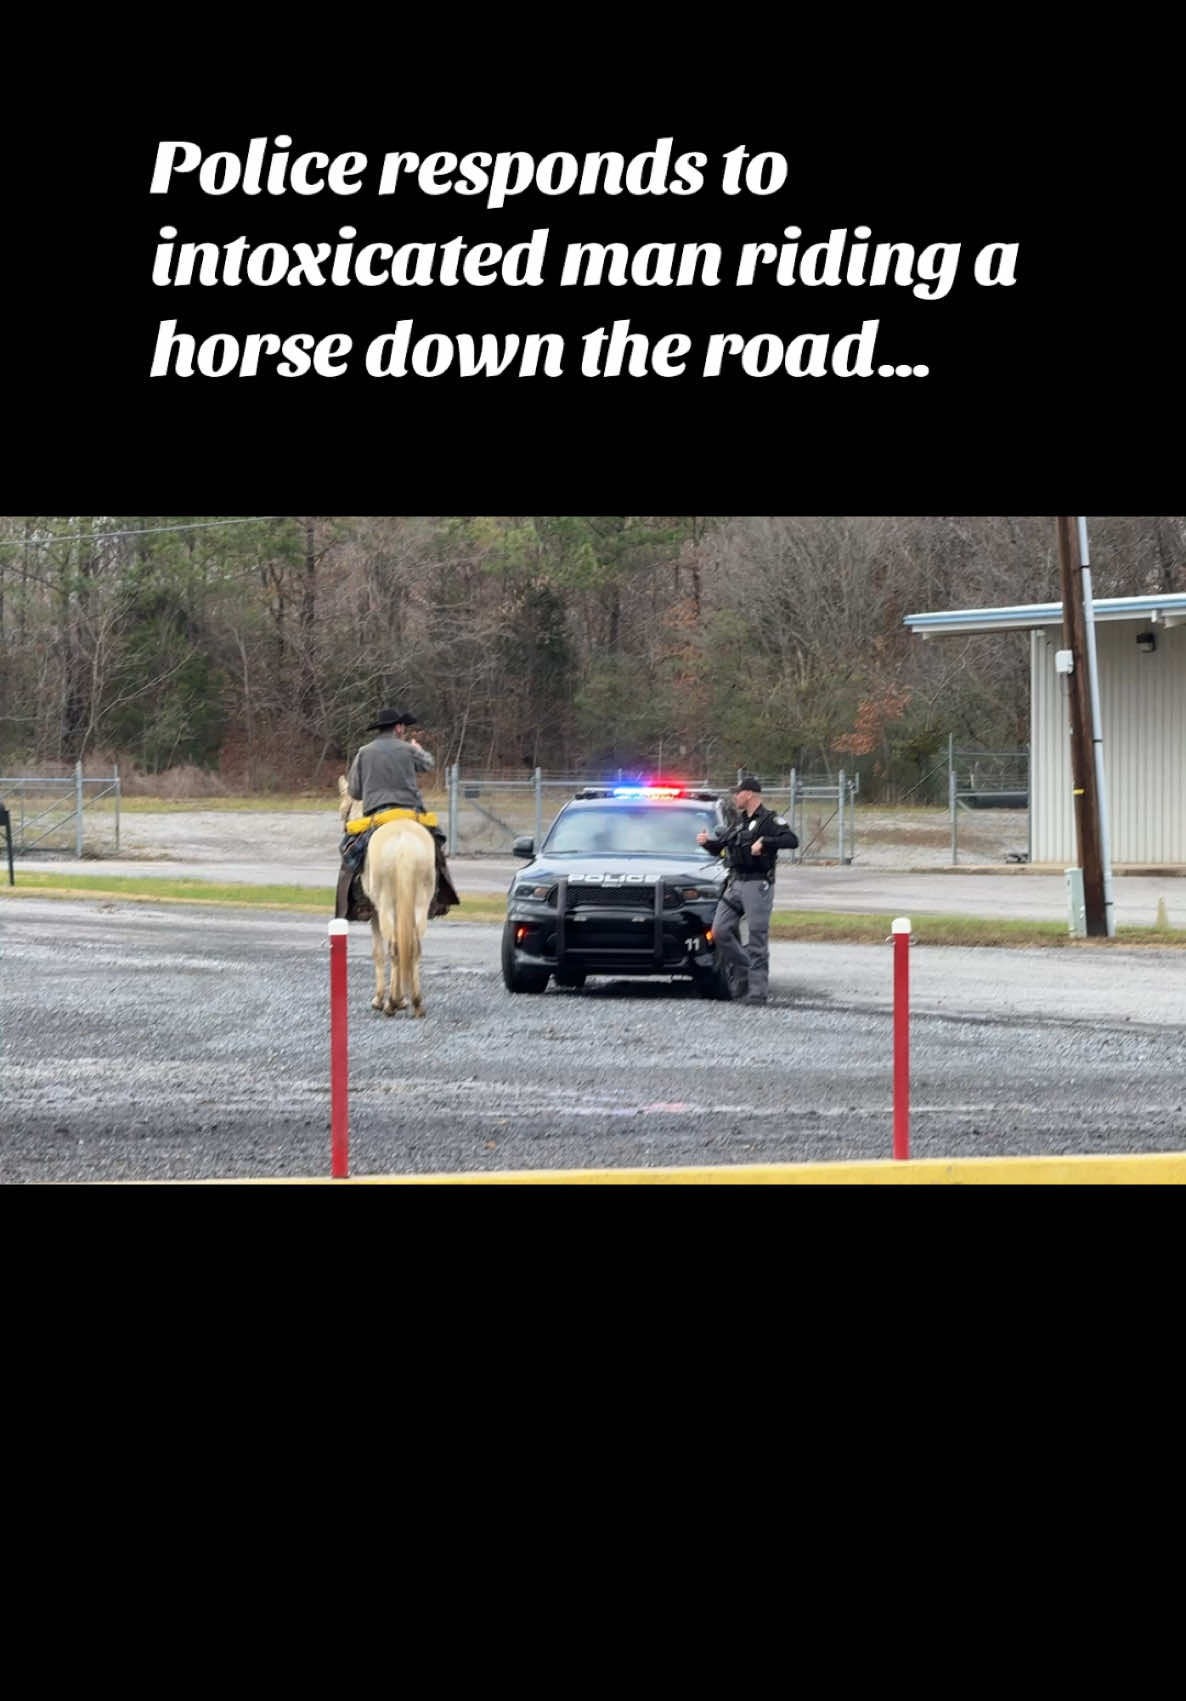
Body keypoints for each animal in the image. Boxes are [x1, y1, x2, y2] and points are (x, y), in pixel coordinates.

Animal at [336, 779, 435, 1013]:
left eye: (343, 808)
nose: (344, 825)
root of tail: (403, 844)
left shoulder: (374, 913)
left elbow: (378, 953)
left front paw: (381, 998)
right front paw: (402, 999)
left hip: (385, 906)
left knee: (395, 948)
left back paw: (391, 1003)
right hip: (419, 904)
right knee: (414, 947)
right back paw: (416, 1001)